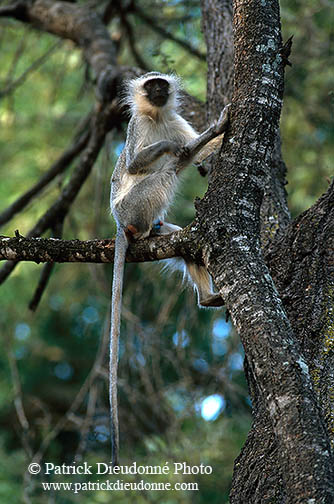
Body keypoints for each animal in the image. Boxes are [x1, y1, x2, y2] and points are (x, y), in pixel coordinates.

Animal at [109, 72, 230, 464]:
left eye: (162, 85)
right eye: (151, 86)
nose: (160, 90)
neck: (157, 117)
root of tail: (120, 222)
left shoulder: (174, 120)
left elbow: (199, 150)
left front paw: (217, 134)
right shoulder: (137, 126)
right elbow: (137, 164)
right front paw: (210, 130)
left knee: (187, 248)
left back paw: (207, 297)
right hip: (133, 206)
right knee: (166, 172)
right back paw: (144, 227)